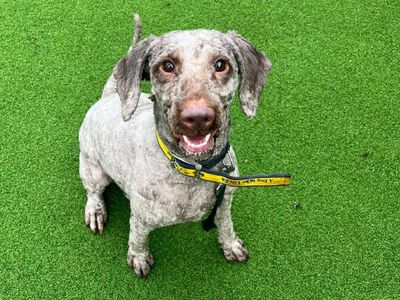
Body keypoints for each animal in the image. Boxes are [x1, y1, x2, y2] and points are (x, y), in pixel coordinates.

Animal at [79, 14, 270, 276]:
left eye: (221, 64)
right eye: (167, 66)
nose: (197, 118)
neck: (194, 170)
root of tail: (108, 96)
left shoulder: (225, 203)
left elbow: (226, 226)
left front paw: (230, 245)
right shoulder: (140, 218)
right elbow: (137, 240)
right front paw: (139, 258)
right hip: (92, 170)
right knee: (93, 192)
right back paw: (95, 211)